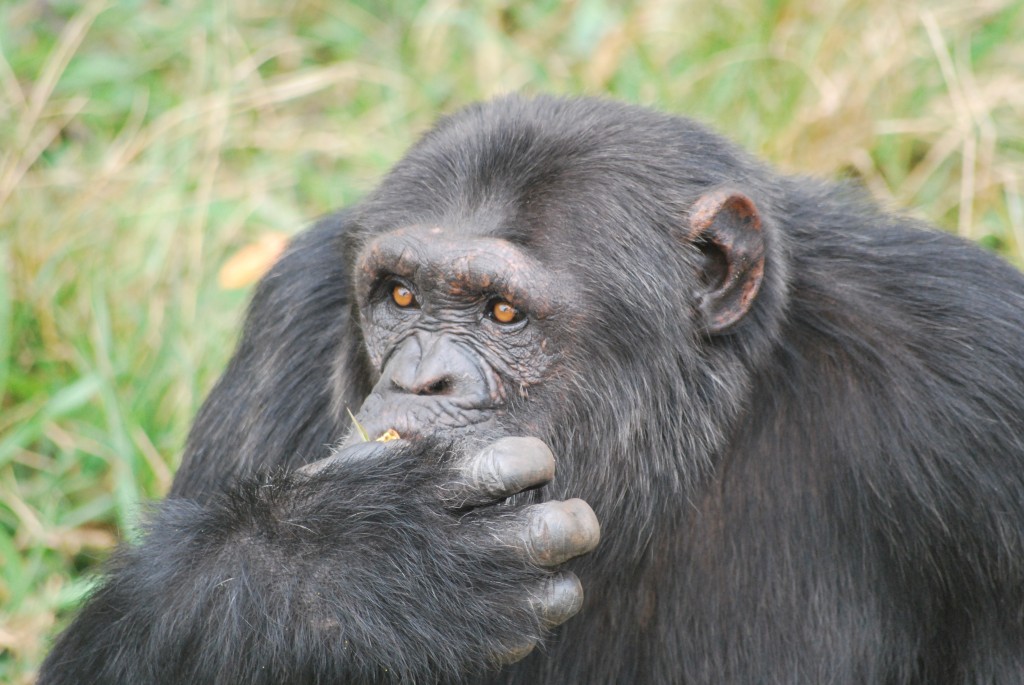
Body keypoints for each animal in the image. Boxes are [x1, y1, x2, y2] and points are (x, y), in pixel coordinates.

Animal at [36, 93, 1024, 679]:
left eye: (503, 313)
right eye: (401, 296)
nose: (420, 376)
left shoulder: (979, 378)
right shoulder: (287, 330)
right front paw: (358, 563)